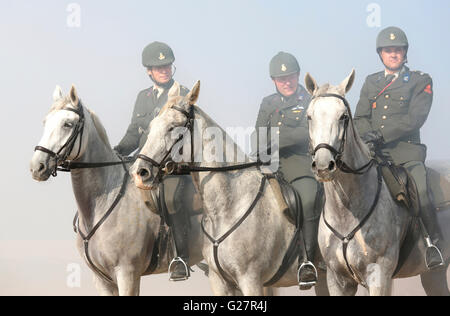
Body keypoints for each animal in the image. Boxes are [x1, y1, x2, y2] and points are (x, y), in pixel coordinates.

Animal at [31, 84, 206, 296]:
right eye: (45, 122)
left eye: (68, 124)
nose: (37, 166)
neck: (103, 202)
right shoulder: (102, 280)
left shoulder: (127, 273)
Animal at [130, 81, 330, 296]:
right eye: (151, 126)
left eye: (173, 128)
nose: (140, 172)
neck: (229, 204)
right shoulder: (220, 281)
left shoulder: (250, 280)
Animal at [304, 69, 448, 296]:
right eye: (309, 116)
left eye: (343, 116)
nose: (323, 165)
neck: (346, 209)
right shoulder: (337, 279)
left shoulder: (378, 276)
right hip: (433, 275)